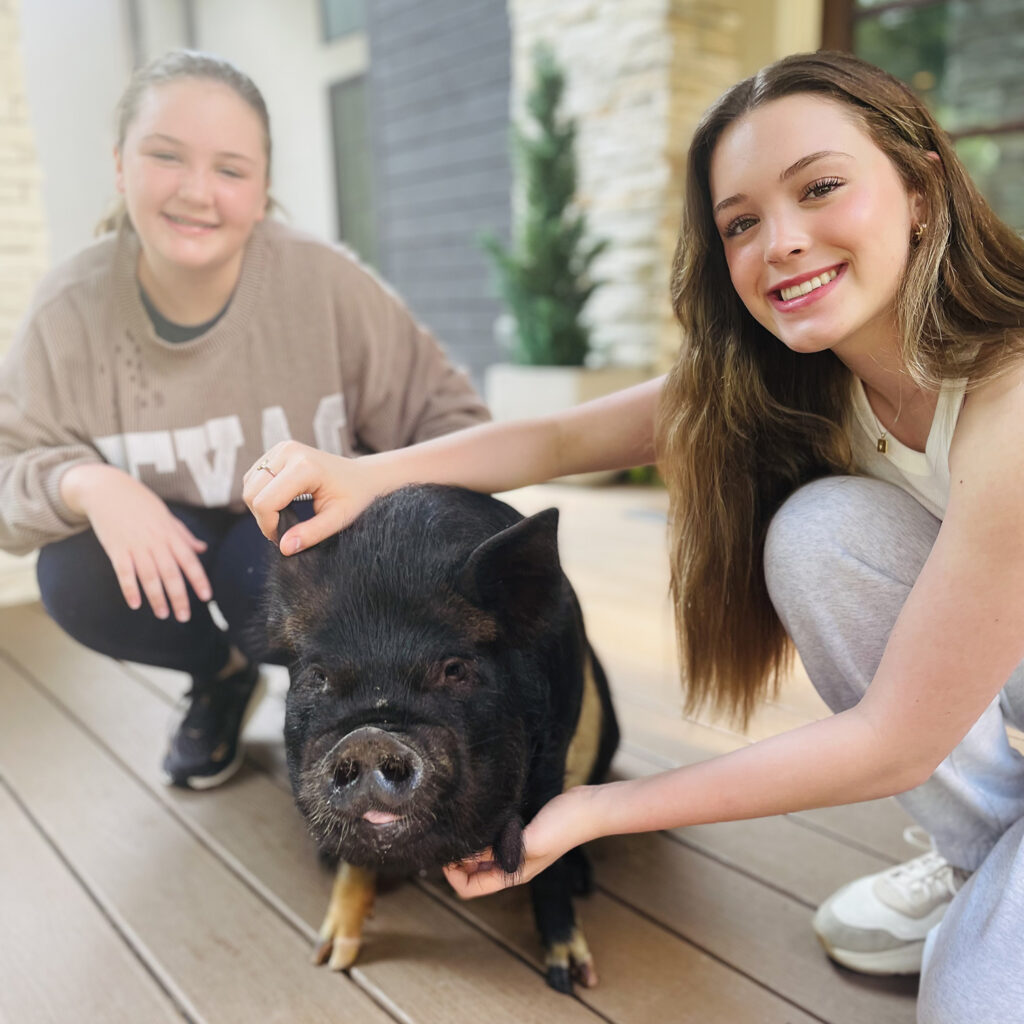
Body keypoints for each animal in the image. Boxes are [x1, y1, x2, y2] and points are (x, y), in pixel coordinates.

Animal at [264, 485, 614, 991]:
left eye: (455, 669)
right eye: (318, 676)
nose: (369, 737)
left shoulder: (553, 753)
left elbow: (549, 865)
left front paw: (570, 977)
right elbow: (356, 862)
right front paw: (328, 959)